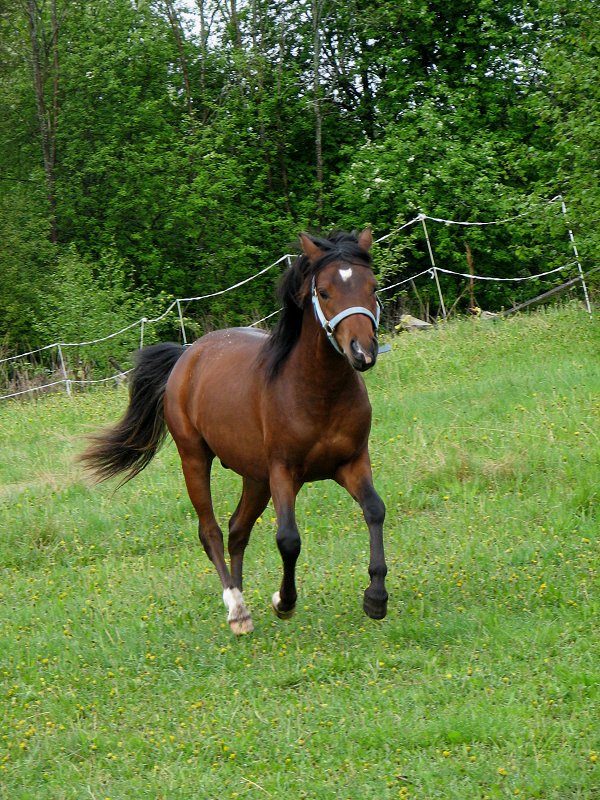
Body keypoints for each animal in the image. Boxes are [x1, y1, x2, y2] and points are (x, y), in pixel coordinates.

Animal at [79, 228, 390, 636]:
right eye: (324, 292)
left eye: (372, 286)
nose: (362, 351)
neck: (317, 392)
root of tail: (187, 355)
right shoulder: (283, 472)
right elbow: (288, 539)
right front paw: (284, 602)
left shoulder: (351, 462)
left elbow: (374, 510)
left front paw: (376, 598)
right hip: (195, 459)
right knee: (210, 530)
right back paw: (237, 609)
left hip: (254, 477)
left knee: (237, 530)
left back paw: (242, 599)